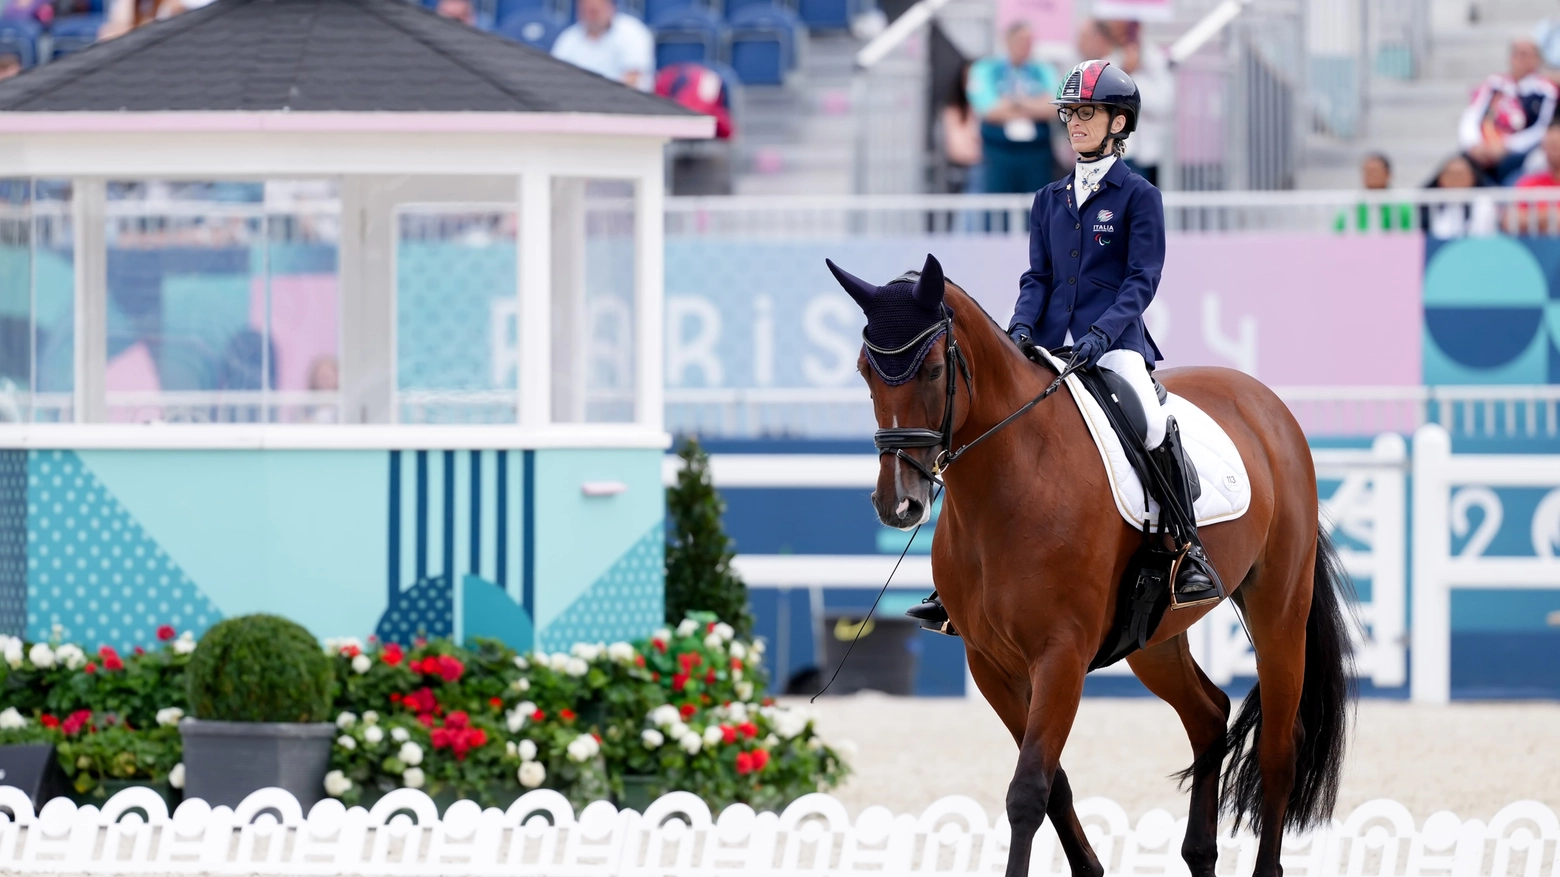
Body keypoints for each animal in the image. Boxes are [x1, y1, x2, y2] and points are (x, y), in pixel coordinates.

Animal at [829, 254, 1354, 873]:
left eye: (934, 370)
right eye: (865, 371)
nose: (899, 503)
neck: (1009, 483)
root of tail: (1265, 403)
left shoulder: (1061, 656)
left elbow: (1027, 790)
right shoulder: (990, 663)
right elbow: (1053, 784)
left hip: (1278, 612)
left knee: (1277, 749)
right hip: (1154, 638)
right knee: (1208, 714)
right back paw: (1199, 853)